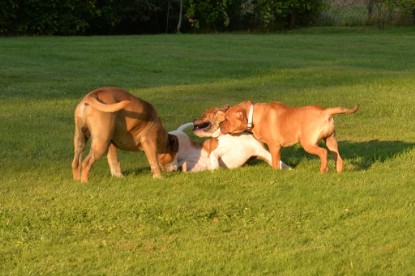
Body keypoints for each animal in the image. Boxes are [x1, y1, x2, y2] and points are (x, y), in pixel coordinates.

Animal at [198, 100, 358, 174]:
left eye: (226, 119)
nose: (221, 125)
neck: (253, 116)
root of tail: (325, 112)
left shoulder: (274, 146)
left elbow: (275, 162)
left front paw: (276, 172)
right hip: (331, 140)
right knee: (337, 156)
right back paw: (339, 171)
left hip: (307, 143)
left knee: (323, 152)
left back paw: (323, 170)